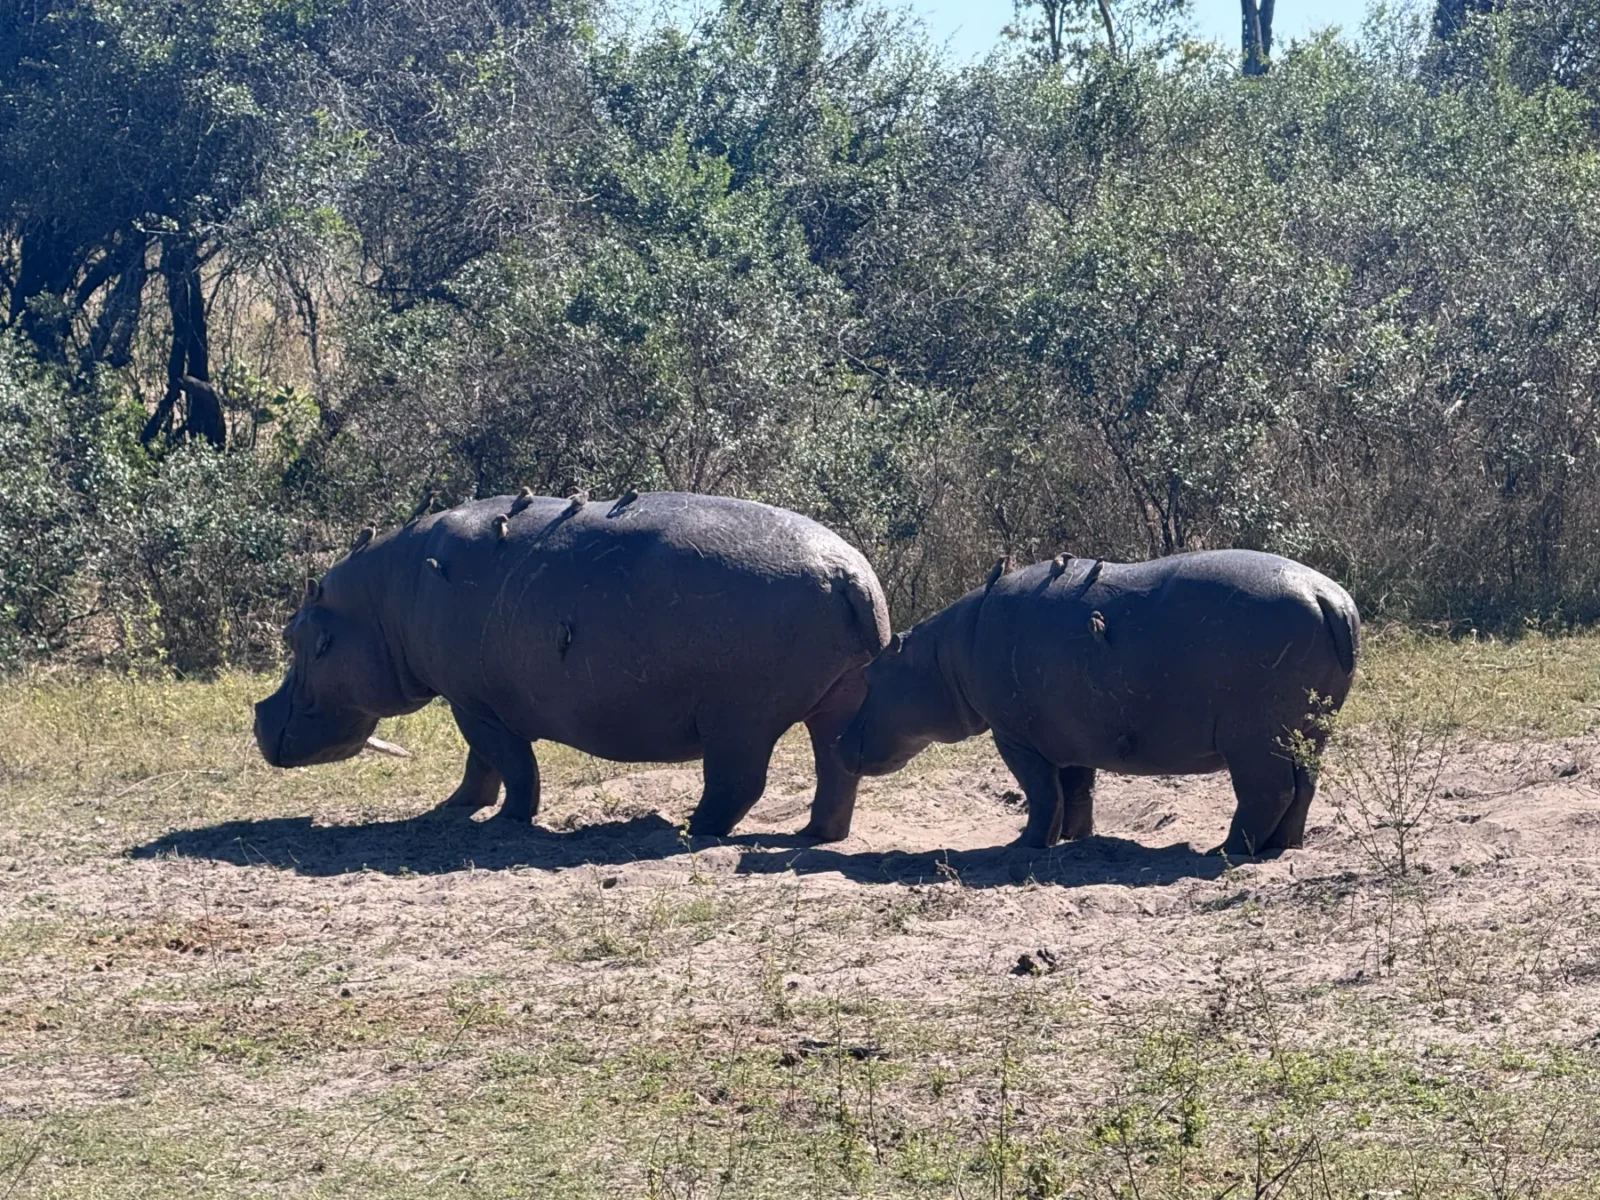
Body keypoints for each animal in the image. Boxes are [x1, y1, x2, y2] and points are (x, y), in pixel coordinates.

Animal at [253, 492, 891, 840]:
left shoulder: (474, 705)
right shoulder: (470, 701)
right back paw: (814, 834)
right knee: (836, 770)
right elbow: (481, 766)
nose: (259, 714)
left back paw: (693, 828)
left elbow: (511, 765)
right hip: (836, 700)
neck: (379, 602)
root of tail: (850, 574)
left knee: (738, 783)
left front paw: (507, 822)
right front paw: (454, 808)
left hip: (739, 720)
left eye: (295, 636)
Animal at [838, 550, 1360, 856]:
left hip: (1253, 738)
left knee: (1268, 792)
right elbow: (1076, 791)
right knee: (1303, 786)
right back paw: (1283, 846)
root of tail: (1329, 597)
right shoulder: (1070, 734)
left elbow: (1041, 793)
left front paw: (1023, 846)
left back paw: (1226, 851)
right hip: (1310, 731)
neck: (942, 657)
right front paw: (1074, 840)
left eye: (870, 674)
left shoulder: (1015, 738)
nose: (840, 738)